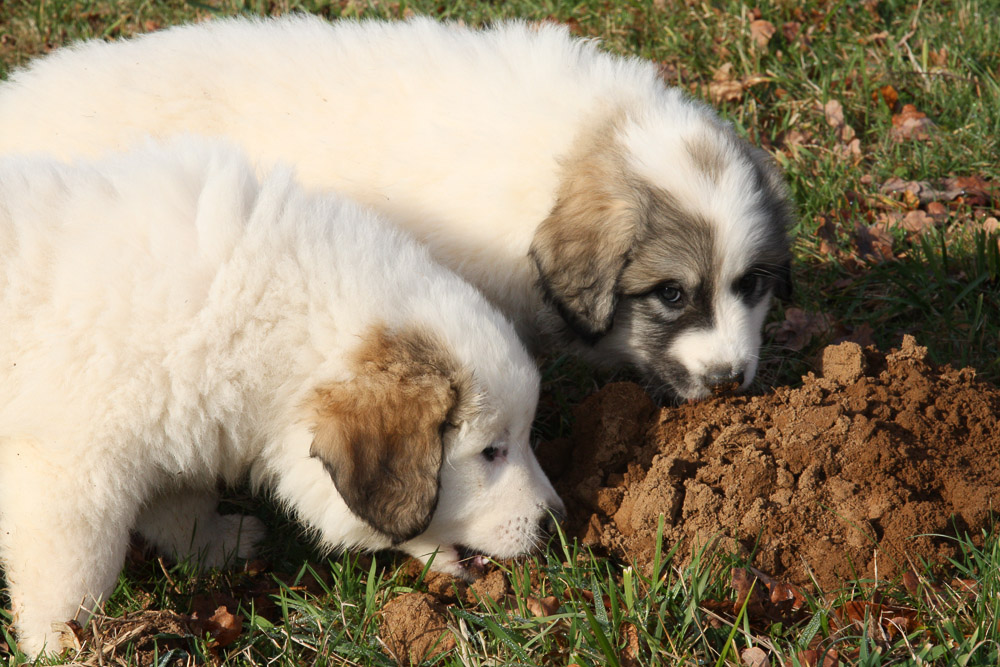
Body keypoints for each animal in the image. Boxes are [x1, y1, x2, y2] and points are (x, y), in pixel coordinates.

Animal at [0, 140, 564, 656]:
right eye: (491, 452)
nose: (556, 522)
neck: (252, 312)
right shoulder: (70, 475)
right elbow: (72, 574)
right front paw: (67, 647)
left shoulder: (172, 426)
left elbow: (180, 501)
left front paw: (216, 544)